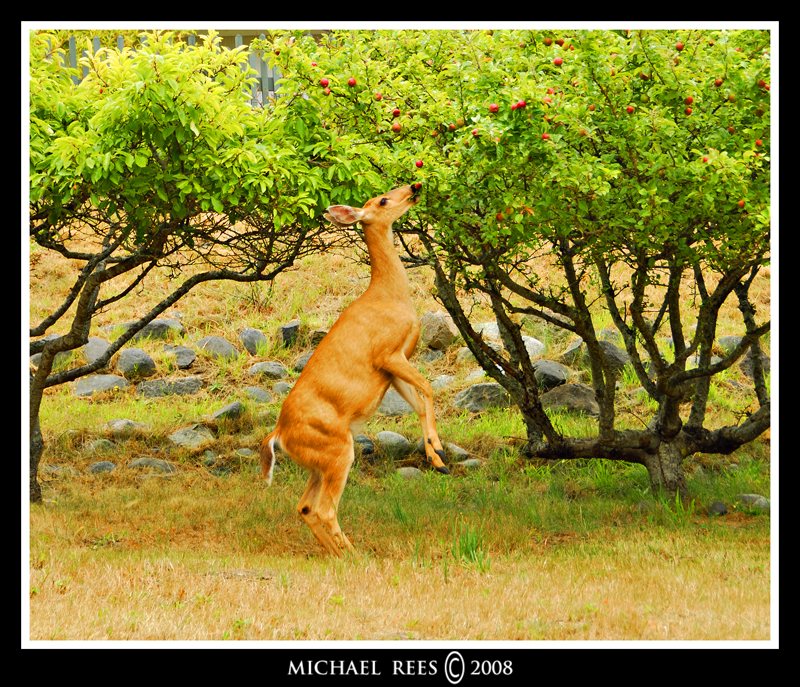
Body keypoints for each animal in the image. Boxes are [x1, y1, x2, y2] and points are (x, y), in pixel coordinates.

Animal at [260, 184, 450, 560]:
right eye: (383, 200)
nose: (415, 186)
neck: (390, 295)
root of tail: (279, 434)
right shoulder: (387, 354)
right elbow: (429, 388)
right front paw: (438, 450)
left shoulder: (391, 371)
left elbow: (419, 402)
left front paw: (437, 459)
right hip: (337, 450)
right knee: (324, 508)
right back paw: (354, 554)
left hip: (318, 461)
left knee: (304, 507)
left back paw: (338, 553)